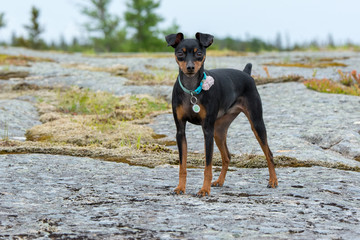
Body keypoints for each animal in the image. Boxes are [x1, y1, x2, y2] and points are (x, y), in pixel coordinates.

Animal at [166, 32, 278, 197]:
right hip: (219, 131)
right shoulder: (180, 132)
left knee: (268, 153)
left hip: (256, 123)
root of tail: (246, 73)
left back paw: (273, 181)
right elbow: (182, 165)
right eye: (180, 53)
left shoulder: (207, 130)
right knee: (227, 156)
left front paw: (204, 190)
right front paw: (181, 187)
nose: (190, 67)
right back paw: (219, 181)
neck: (192, 89)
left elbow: (208, 165)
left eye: (199, 54)